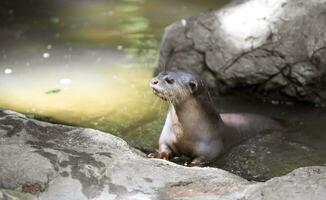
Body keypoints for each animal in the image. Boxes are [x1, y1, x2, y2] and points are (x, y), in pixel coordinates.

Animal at [149, 71, 282, 166]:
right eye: (159, 73)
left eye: (170, 80)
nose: (153, 81)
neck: (181, 133)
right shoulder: (166, 139)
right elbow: (164, 147)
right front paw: (155, 155)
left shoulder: (209, 148)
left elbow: (202, 158)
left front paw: (190, 163)